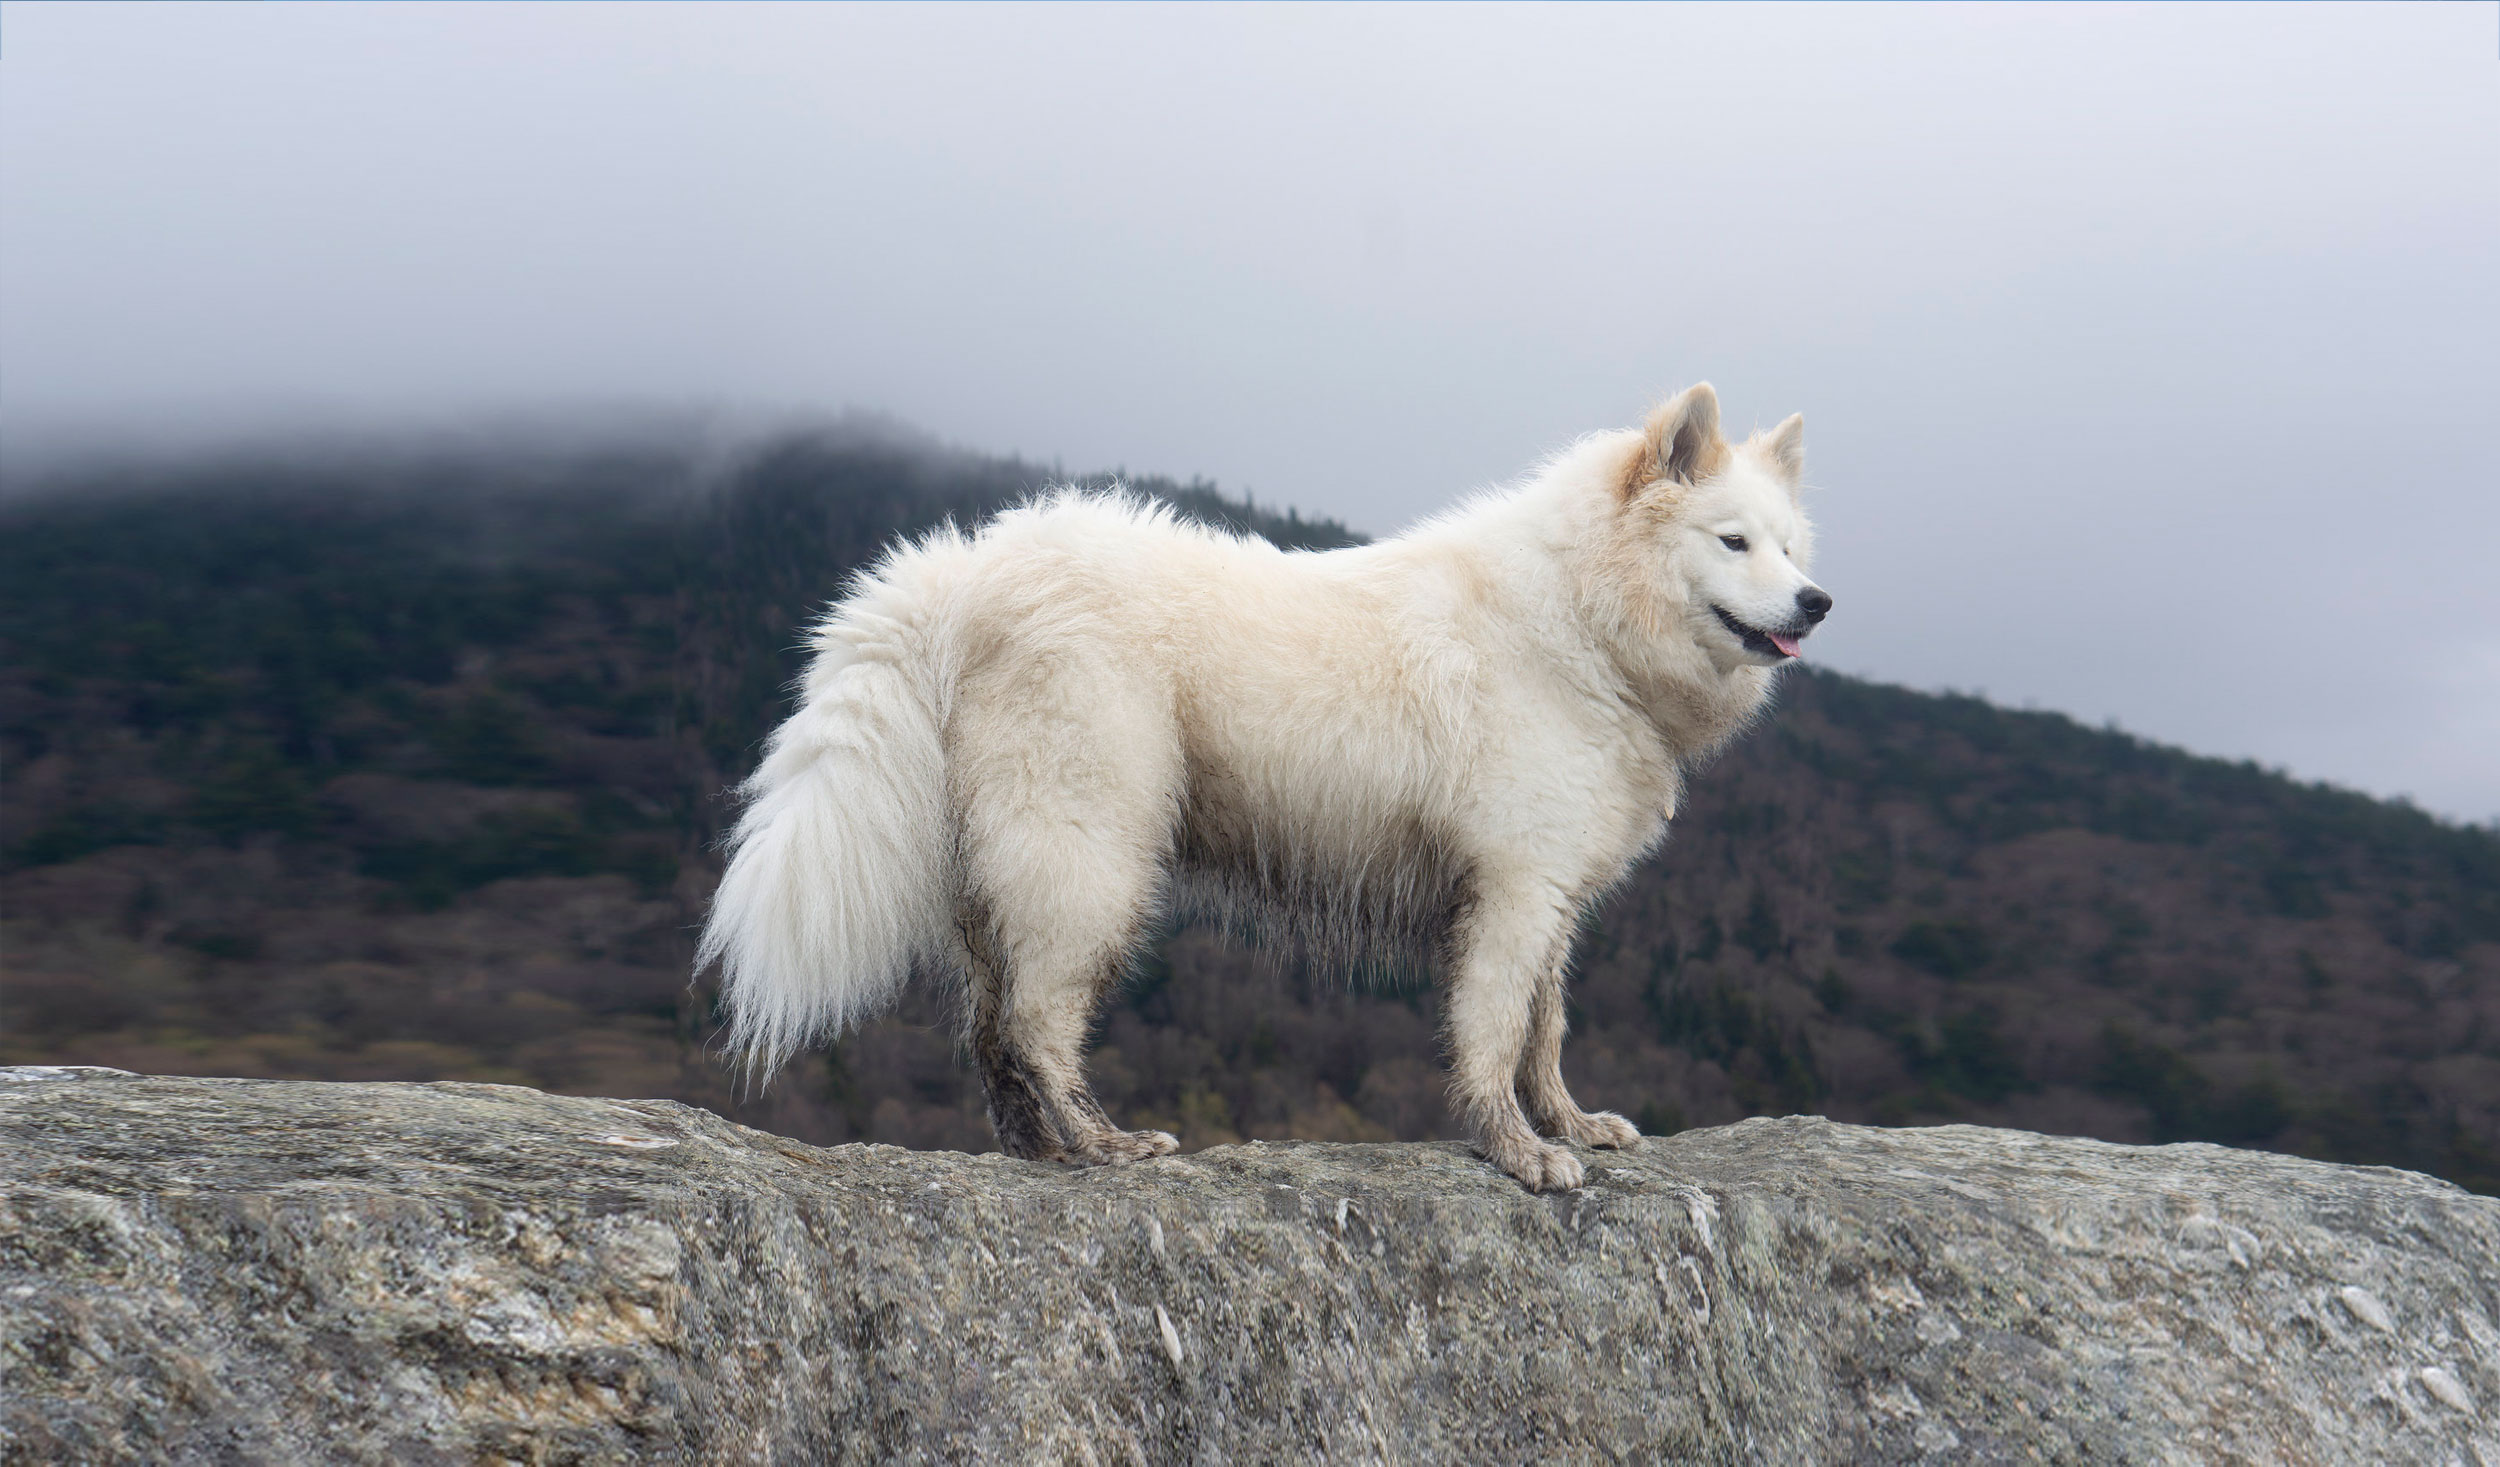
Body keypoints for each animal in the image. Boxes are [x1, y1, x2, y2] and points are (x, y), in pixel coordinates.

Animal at [695, 384, 1830, 1189]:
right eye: (1732, 541)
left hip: (1003, 871)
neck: (1580, 619)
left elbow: (1543, 1034)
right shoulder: (1512, 892)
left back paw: (1043, 1155)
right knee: (1036, 1024)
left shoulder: (1548, 898)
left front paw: (1572, 1124)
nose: (1818, 602)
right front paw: (1518, 1153)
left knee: (992, 1032)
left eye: (1788, 545)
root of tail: (969, 566)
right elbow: (1494, 1034)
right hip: (1092, 858)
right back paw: (1104, 1146)